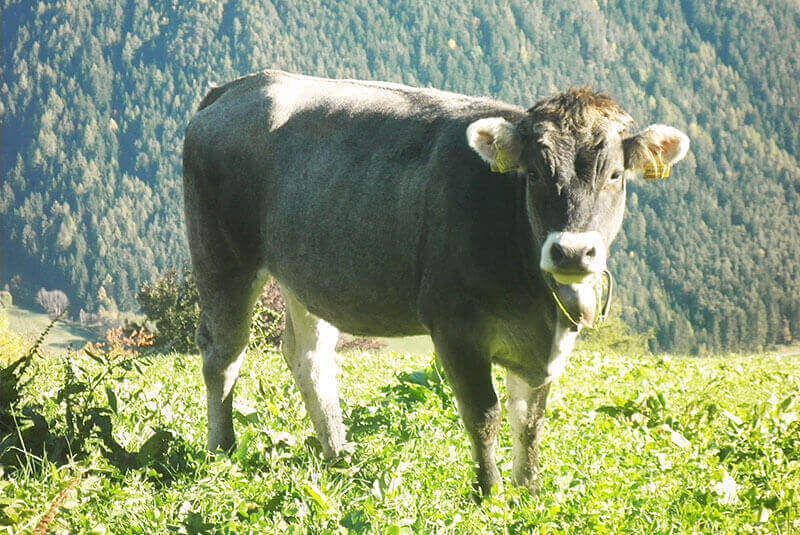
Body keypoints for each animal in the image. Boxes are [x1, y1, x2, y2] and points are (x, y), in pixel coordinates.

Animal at [182, 70, 689, 495]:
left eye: (615, 174)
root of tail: (239, 87)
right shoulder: (454, 324)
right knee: (223, 353)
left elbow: (530, 419)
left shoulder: (549, 343)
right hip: (223, 258)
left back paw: (339, 456)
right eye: (535, 173)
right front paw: (490, 493)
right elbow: (484, 413)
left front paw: (529, 490)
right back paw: (223, 452)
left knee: (308, 357)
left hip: (306, 275)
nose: (571, 251)